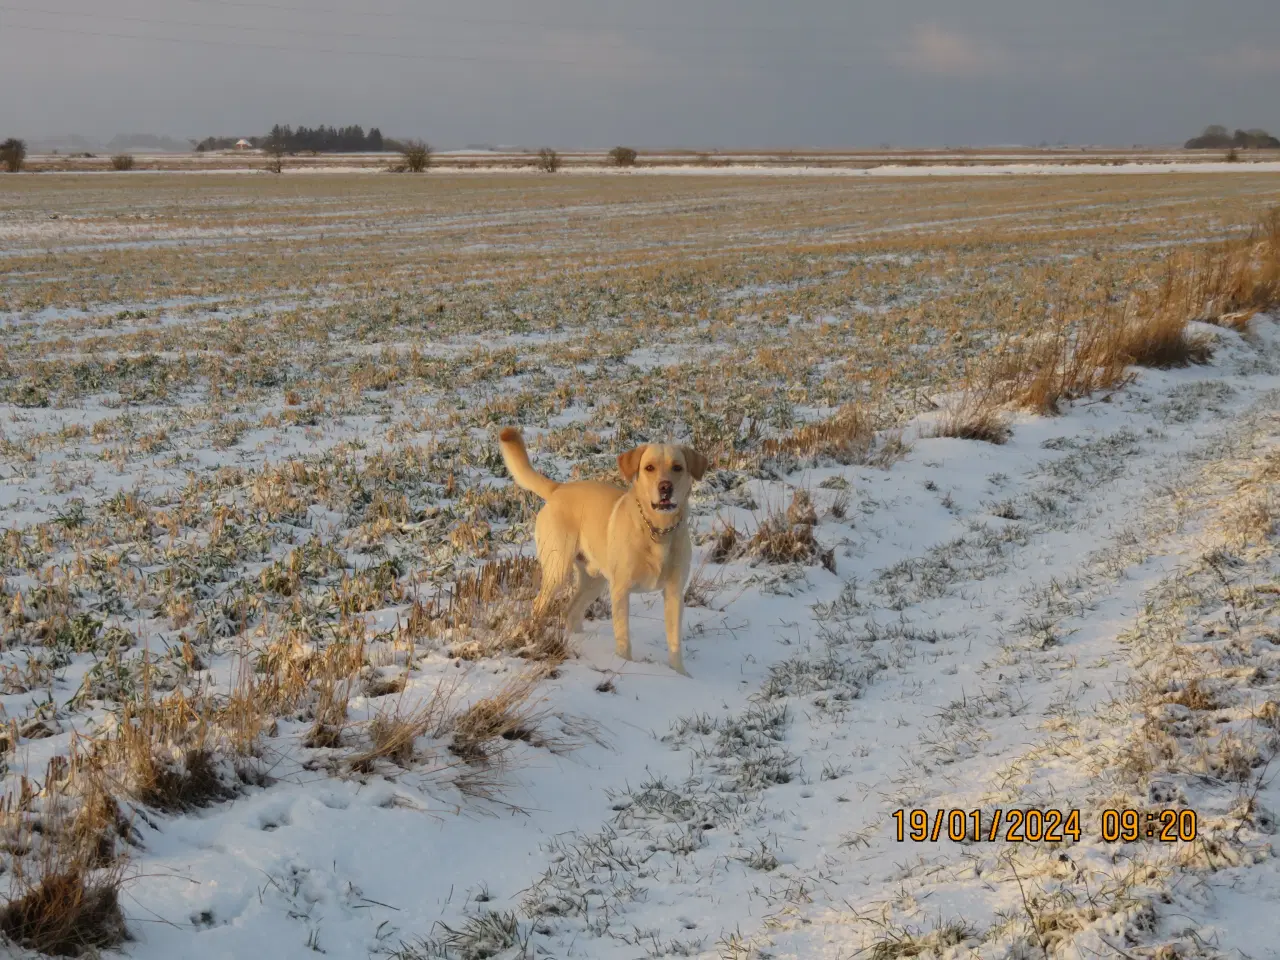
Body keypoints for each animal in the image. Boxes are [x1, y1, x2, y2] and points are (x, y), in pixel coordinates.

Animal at [496, 427, 711, 675]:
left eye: (677, 467)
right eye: (649, 468)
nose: (665, 487)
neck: (657, 530)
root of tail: (558, 488)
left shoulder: (674, 593)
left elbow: (674, 641)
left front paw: (680, 675)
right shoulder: (621, 589)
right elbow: (623, 637)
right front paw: (625, 664)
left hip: (594, 581)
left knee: (572, 611)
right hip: (558, 568)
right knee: (539, 604)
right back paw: (535, 636)